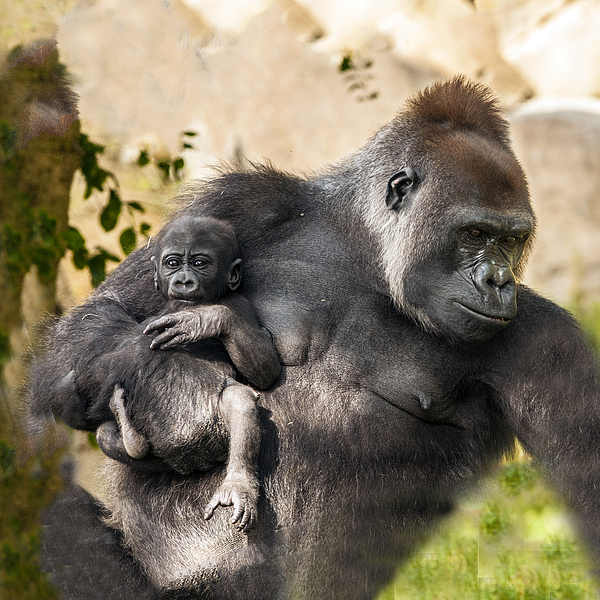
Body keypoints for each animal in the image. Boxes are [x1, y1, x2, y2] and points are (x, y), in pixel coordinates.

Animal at [95, 214, 282, 528]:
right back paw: (132, 437)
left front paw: (203, 320)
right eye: (172, 262)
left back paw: (238, 485)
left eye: (199, 263)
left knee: (238, 401)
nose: (183, 280)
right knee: (105, 434)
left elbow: (266, 371)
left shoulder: (241, 305)